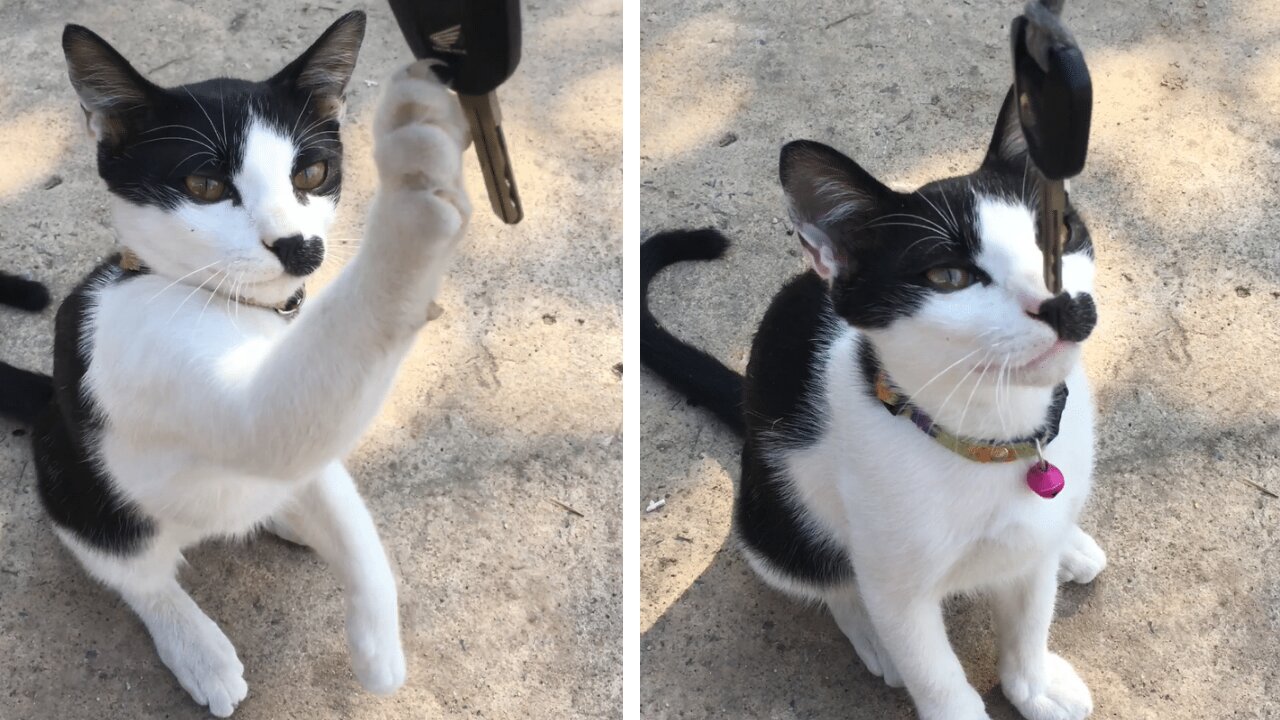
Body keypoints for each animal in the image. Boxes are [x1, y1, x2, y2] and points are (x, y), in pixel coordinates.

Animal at [18, 11, 476, 712]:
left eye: (311, 174)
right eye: (204, 185)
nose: (300, 247)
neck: (225, 302)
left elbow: (341, 499)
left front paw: (378, 648)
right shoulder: (145, 358)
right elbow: (276, 427)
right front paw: (417, 190)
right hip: (80, 481)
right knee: (133, 569)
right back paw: (197, 646)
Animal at [640, 90, 1111, 717]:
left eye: (1057, 233)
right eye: (948, 276)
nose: (1062, 305)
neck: (988, 434)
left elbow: (1030, 613)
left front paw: (1032, 684)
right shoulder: (898, 585)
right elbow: (935, 674)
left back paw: (1070, 546)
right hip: (778, 519)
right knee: (825, 572)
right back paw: (866, 629)